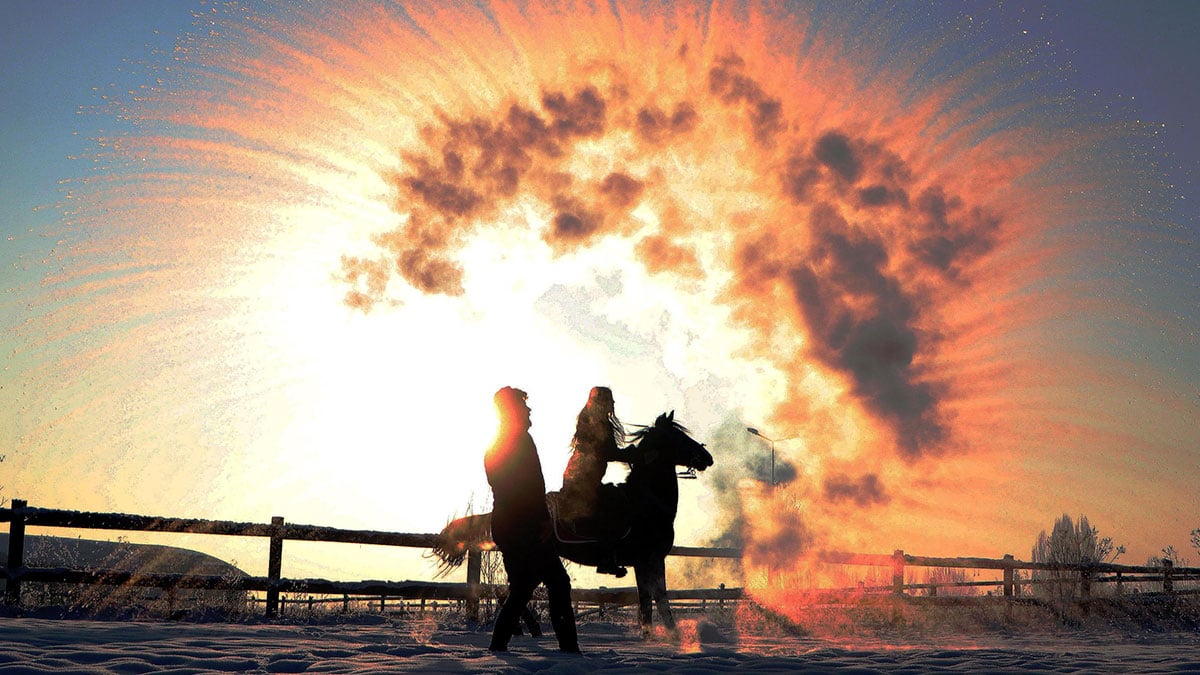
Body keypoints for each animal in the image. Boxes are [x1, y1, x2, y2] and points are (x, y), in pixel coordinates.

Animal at [432, 410, 710, 634]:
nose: (706, 457)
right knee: (509, 595)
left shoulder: (645, 563)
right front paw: (669, 637)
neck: (647, 503)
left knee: (509, 593)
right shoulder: (649, 560)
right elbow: (658, 601)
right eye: (679, 437)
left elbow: (648, 603)